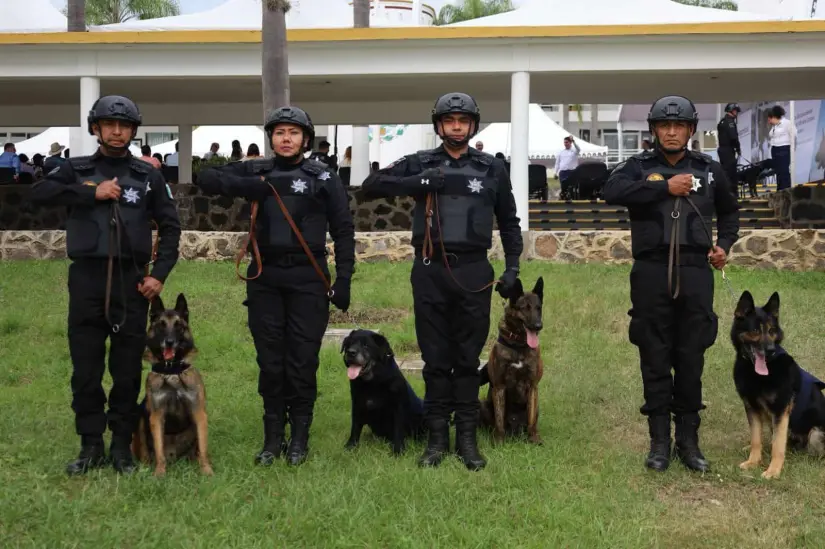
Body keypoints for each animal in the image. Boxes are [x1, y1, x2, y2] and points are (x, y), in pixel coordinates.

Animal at [131, 294, 212, 478]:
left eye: (178, 326)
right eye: (161, 325)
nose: (169, 342)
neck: (172, 371)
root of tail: (173, 455)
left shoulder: (199, 414)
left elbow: (203, 449)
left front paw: (207, 470)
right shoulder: (156, 416)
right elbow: (159, 450)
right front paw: (160, 473)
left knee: (197, 450)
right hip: (140, 417)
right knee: (146, 452)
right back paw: (146, 467)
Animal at [480, 276, 544, 444]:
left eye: (538, 308)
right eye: (524, 308)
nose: (538, 326)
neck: (518, 345)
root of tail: (515, 431)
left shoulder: (533, 386)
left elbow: (531, 420)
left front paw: (534, 439)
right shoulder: (499, 387)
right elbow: (499, 419)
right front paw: (499, 441)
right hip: (483, 405)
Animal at [732, 288, 824, 478]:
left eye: (771, 330)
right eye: (755, 330)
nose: (771, 350)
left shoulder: (781, 411)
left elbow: (778, 445)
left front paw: (773, 470)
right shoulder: (752, 408)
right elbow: (756, 438)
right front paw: (753, 461)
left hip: (815, 433)